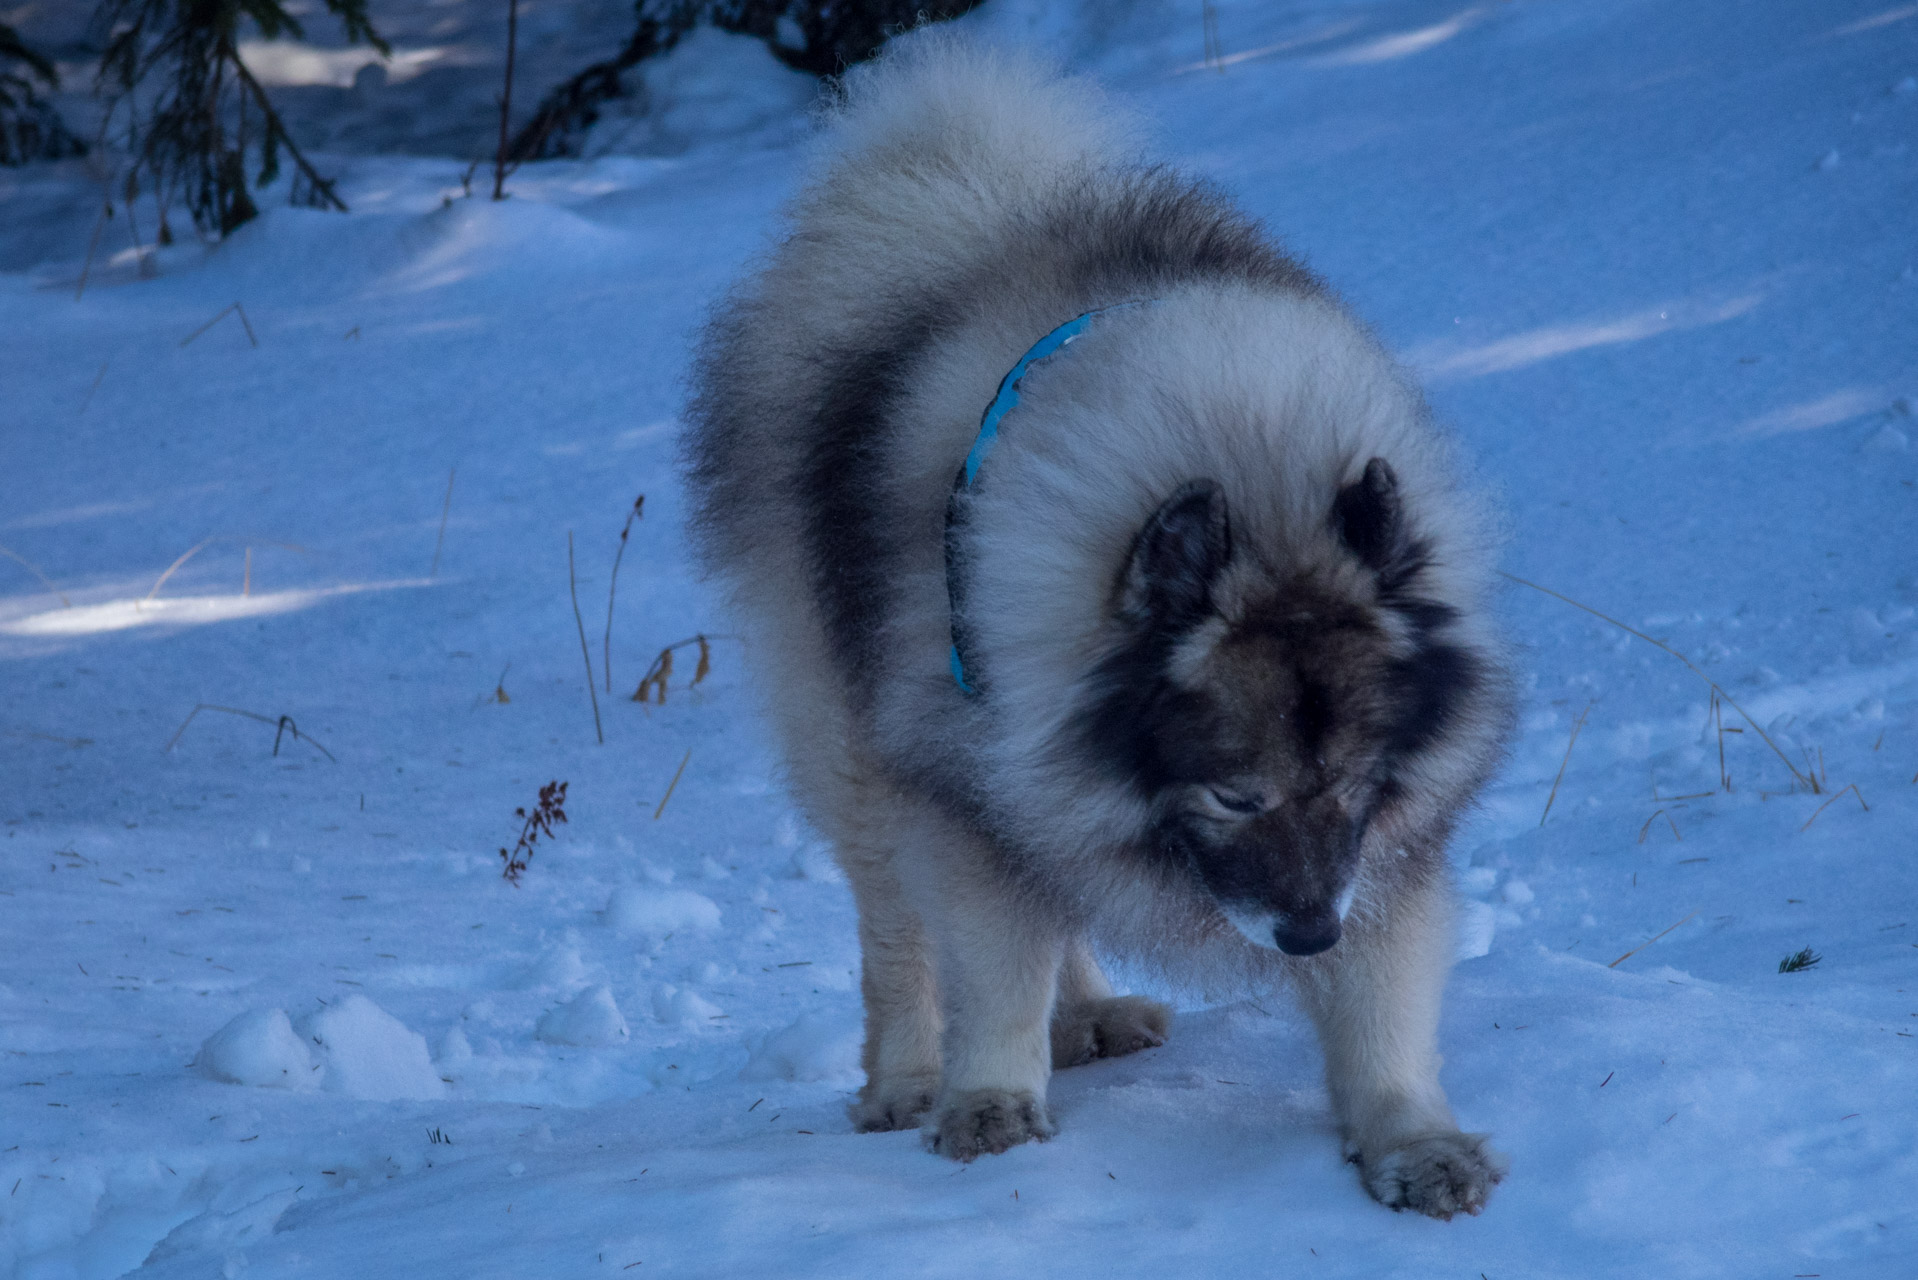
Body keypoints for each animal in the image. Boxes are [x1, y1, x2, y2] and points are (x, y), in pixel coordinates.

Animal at [686, 40, 1511, 1220]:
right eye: (1234, 795)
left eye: (1355, 780)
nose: (1307, 932)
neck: (1257, 478)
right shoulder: (970, 779)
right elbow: (991, 965)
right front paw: (985, 1101)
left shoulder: (1381, 847)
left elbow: (1381, 1008)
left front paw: (1413, 1140)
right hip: (861, 747)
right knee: (895, 931)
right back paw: (906, 1078)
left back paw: (1087, 1017)